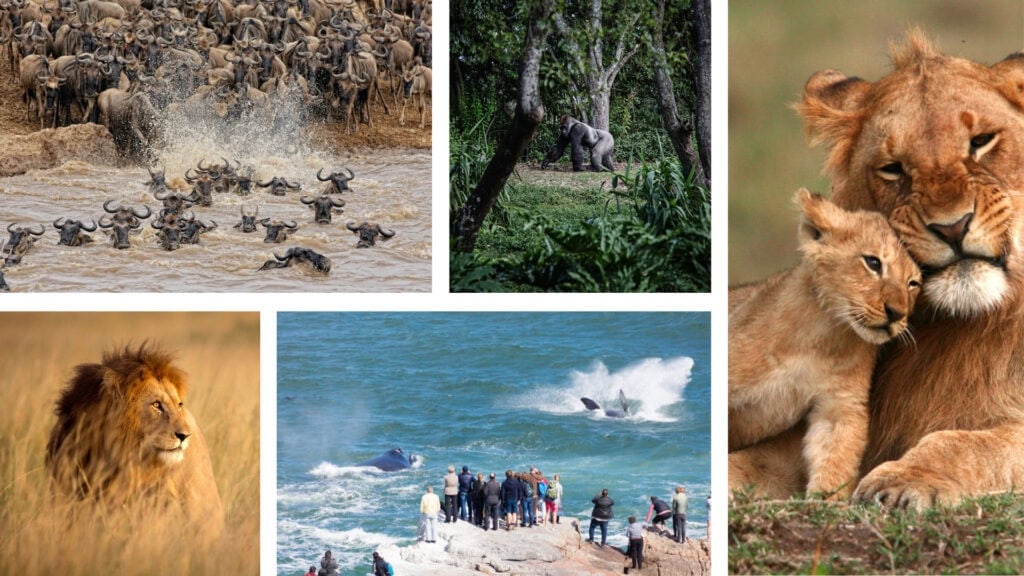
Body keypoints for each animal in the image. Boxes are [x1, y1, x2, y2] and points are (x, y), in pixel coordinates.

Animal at [733, 29, 1024, 508]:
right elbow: (748, 463)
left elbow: (971, 443)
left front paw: (906, 479)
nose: (952, 226)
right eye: (892, 168)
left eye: (981, 140)